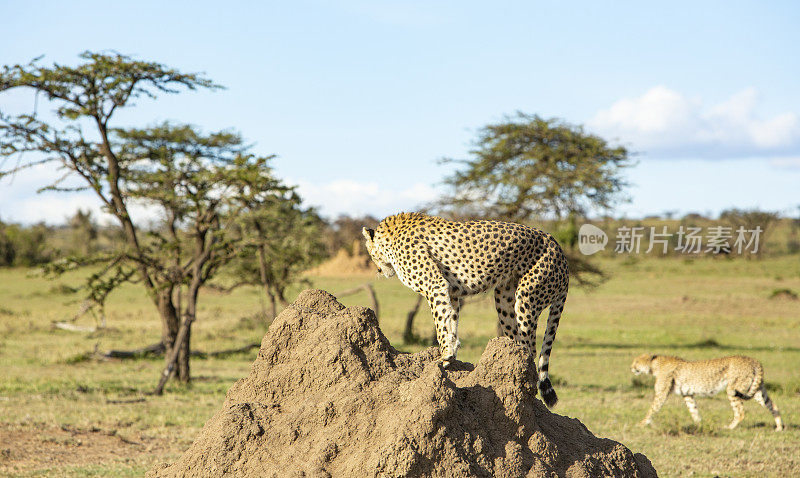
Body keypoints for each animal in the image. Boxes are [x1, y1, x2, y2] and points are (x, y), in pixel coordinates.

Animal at [362, 213, 568, 408]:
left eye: (370, 253)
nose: (378, 270)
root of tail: (556, 245)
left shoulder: (435, 285)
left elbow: (440, 323)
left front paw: (445, 355)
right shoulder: (451, 293)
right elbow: (450, 322)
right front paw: (451, 354)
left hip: (527, 297)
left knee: (530, 347)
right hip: (504, 297)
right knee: (518, 337)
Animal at [628, 352, 784, 432]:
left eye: (636, 362)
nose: (631, 367)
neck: (655, 364)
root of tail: (753, 359)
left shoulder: (661, 394)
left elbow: (652, 409)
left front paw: (641, 424)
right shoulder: (687, 394)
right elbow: (694, 410)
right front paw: (699, 424)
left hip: (733, 389)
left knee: (740, 412)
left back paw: (729, 427)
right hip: (756, 390)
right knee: (773, 406)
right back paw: (779, 427)